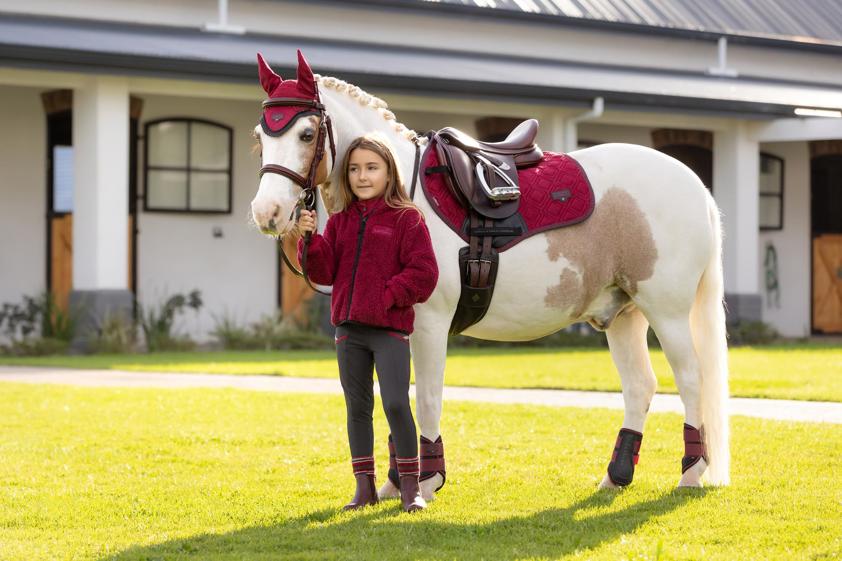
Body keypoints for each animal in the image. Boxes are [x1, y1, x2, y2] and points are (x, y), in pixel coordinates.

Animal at [251, 51, 728, 498]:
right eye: (260, 136)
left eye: (306, 133)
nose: (266, 212)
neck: (400, 194)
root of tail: (696, 186)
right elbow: (397, 399)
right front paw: (396, 482)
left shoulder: (430, 325)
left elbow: (427, 398)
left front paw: (427, 480)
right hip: (624, 314)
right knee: (640, 387)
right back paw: (616, 475)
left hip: (667, 313)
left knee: (691, 379)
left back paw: (691, 472)